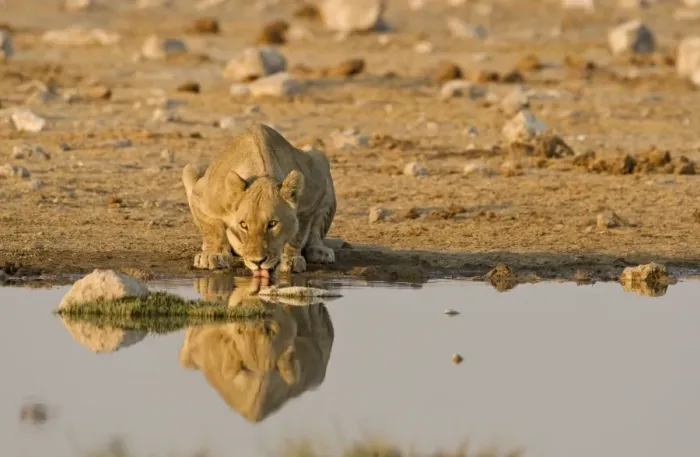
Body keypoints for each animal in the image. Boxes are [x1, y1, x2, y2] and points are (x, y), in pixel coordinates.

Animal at [182, 123, 337, 276]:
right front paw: (213, 255)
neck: (261, 173)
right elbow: (211, 228)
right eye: (243, 225)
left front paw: (290, 258)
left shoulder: (311, 198)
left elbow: (298, 233)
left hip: (320, 159)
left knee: (316, 231)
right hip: (192, 168)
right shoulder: (200, 195)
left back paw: (319, 252)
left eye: (272, 224)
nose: (257, 262)